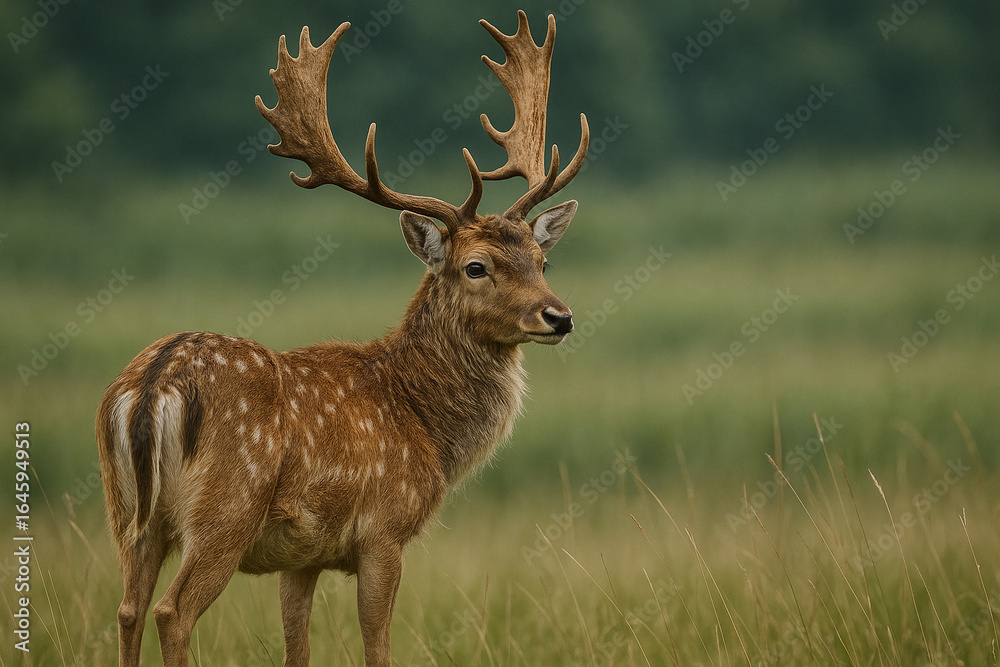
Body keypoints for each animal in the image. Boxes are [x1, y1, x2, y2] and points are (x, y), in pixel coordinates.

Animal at [96, 10, 588, 667]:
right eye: (476, 267)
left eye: (541, 259)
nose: (558, 317)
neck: (426, 425)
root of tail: (152, 388)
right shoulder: (383, 529)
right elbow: (377, 644)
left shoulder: (303, 556)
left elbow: (296, 648)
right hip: (226, 506)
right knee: (171, 612)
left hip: (128, 513)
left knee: (126, 609)